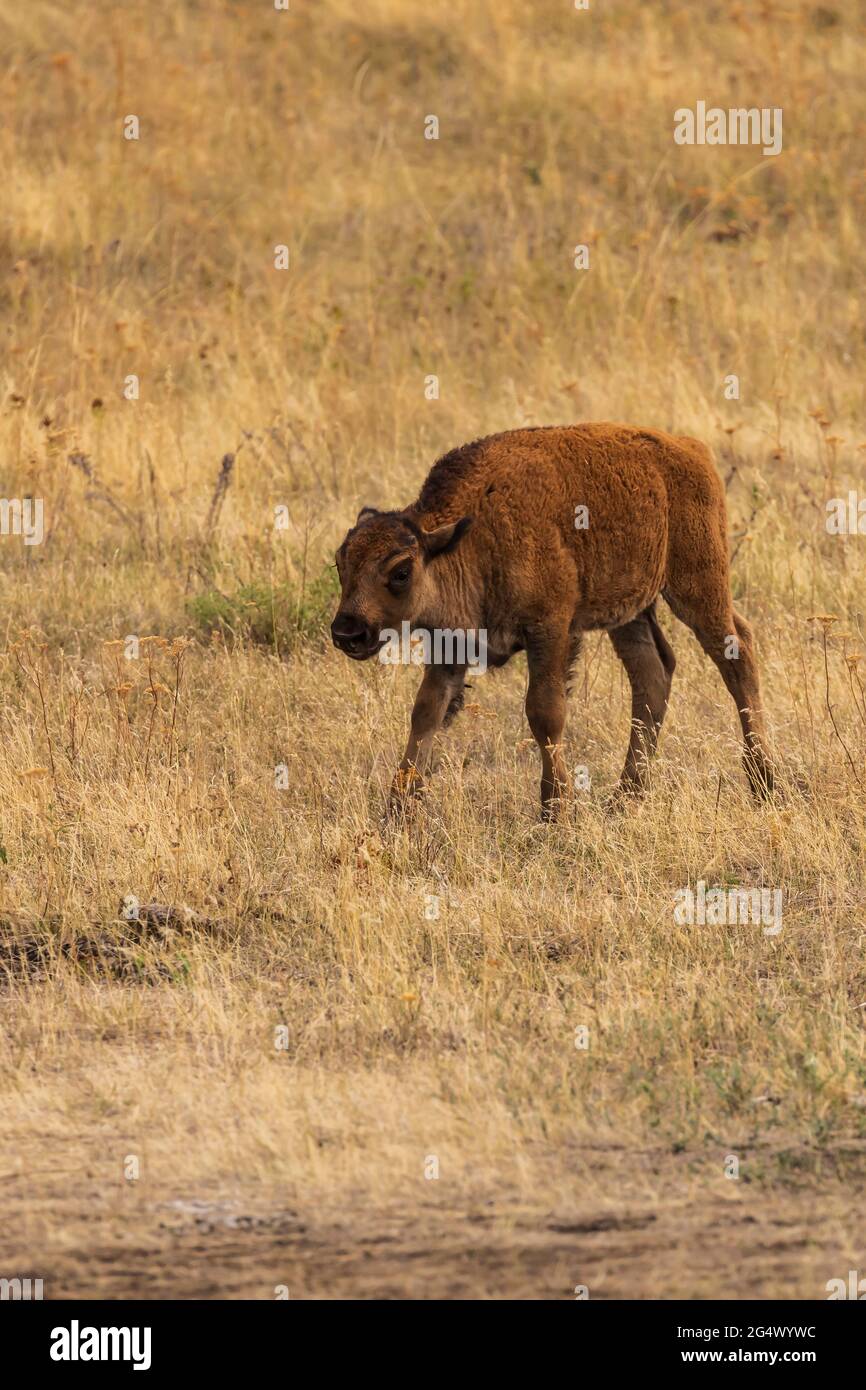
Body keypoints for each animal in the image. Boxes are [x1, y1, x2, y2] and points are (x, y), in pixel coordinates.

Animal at [330, 422, 772, 811]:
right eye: (340, 564)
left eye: (401, 571)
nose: (347, 631)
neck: (469, 537)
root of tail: (691, 449)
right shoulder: (451, 645)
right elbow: (425, 713)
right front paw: (398, 808)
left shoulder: (550, 630)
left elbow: (544, 713)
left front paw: (554, 808)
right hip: (630, 613)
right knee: (652, 673)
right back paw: (625, 796)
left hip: (697, 587)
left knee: (737, 655)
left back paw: (764, 782)